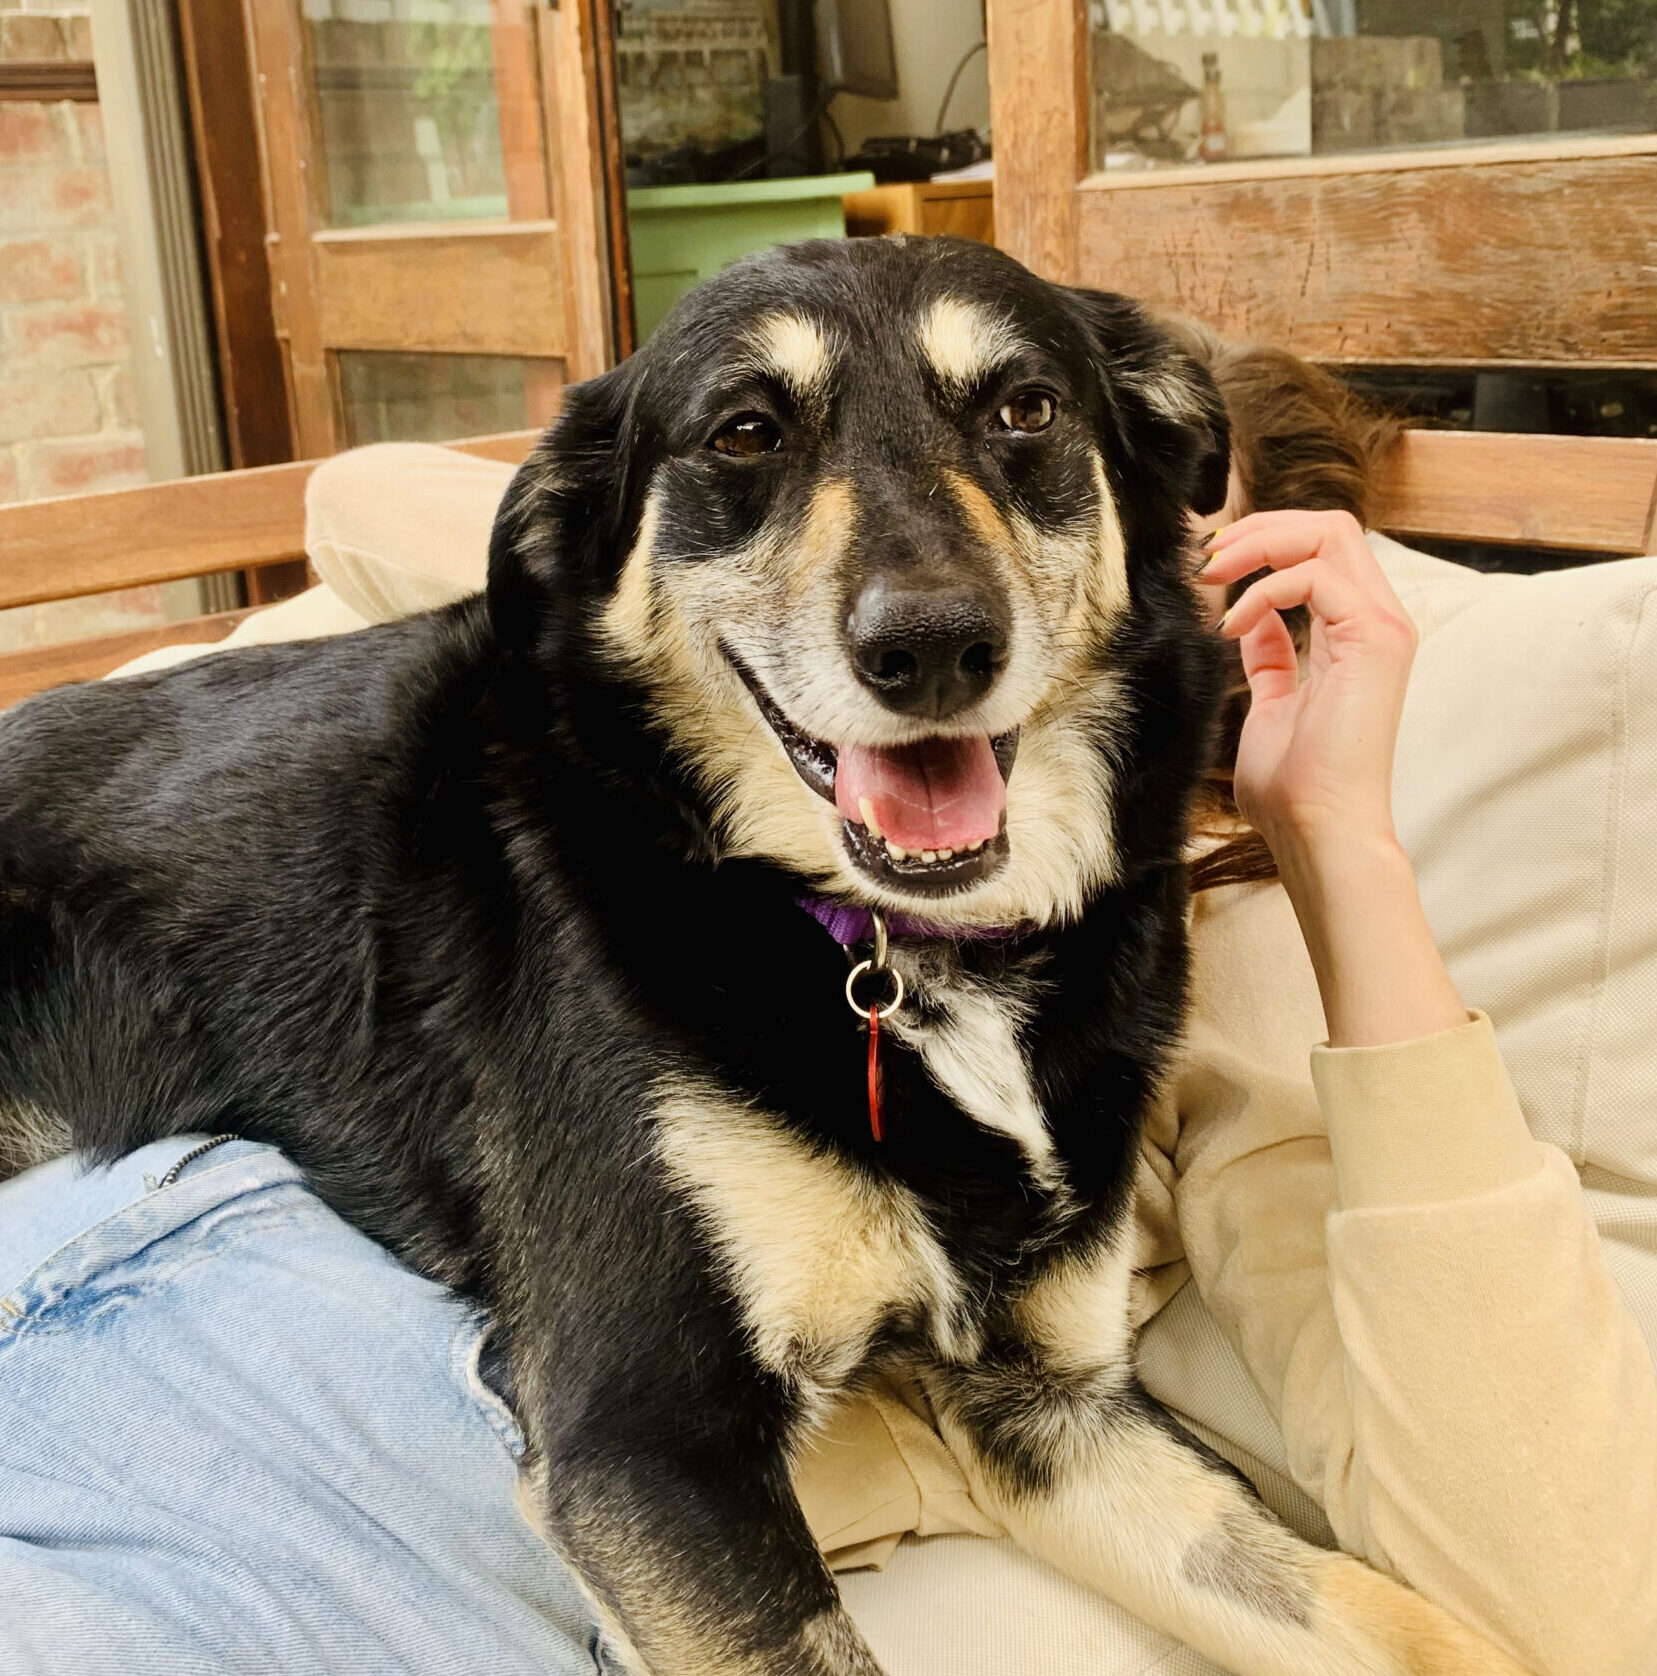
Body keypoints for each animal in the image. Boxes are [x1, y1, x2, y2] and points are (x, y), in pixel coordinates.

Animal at [1, 236, 1525, 1676]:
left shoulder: (1049, 1412)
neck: (894, 950)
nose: (933, 648)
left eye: (1025, 408)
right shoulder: (648, 1435)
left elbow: (1409, 1625)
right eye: (743, 433)